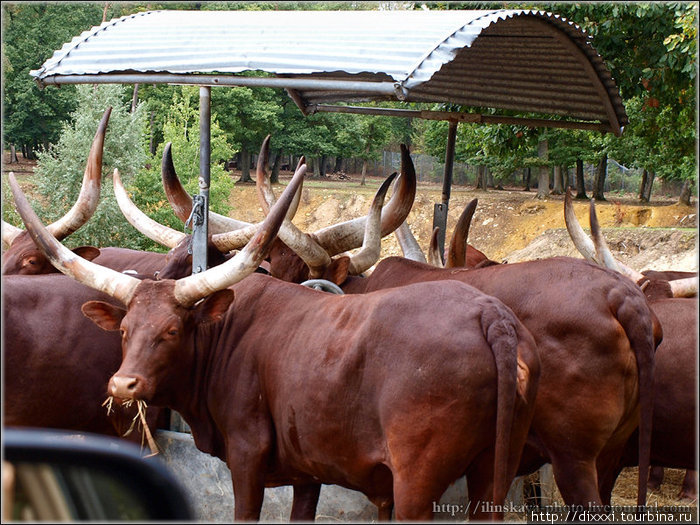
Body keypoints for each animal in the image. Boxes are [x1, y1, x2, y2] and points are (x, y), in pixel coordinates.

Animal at [8, 164, 540, 520]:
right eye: (123, 330)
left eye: (173, 331)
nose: (123, 386)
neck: (227, 335)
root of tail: (492, 316)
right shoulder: (306, 473)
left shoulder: (246, 459)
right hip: (492, 472)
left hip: (417, 483)